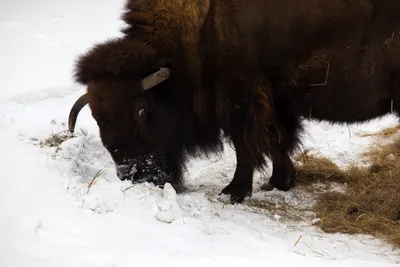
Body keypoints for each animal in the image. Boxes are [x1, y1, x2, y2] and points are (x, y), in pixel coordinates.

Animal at [69, 0, 400, 205]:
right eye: (97, 118)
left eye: (141, 110)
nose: (134, 175)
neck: (203, 26)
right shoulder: (274, 100)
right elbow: (277, 140)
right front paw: (279, 182)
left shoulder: (241, 100)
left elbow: (247, 146)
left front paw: (233, 191)